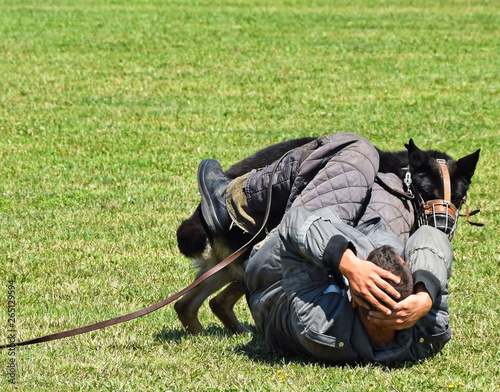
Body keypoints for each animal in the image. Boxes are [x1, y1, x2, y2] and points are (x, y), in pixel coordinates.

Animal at [174, 136, 478, 334]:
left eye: (458, 197)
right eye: (427, 192)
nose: (441, 228)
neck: (403, 179)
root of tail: (203, 212)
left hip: (229, 267)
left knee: (193, 304)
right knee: (209, 301)